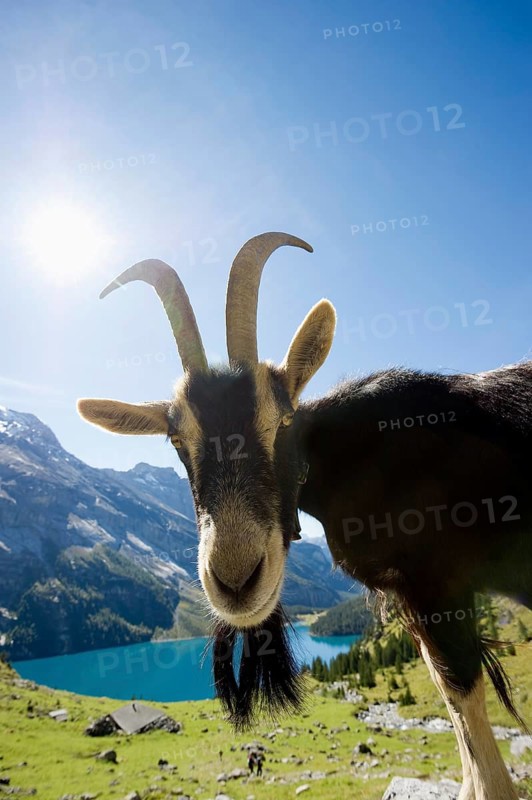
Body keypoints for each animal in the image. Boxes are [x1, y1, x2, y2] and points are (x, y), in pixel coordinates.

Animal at [78, 232, 531, 800]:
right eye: (177, 439)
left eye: (284, 419)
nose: (236, 581)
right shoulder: (411, 598)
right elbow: (450, 702)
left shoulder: (438, 583)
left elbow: (465, 702)